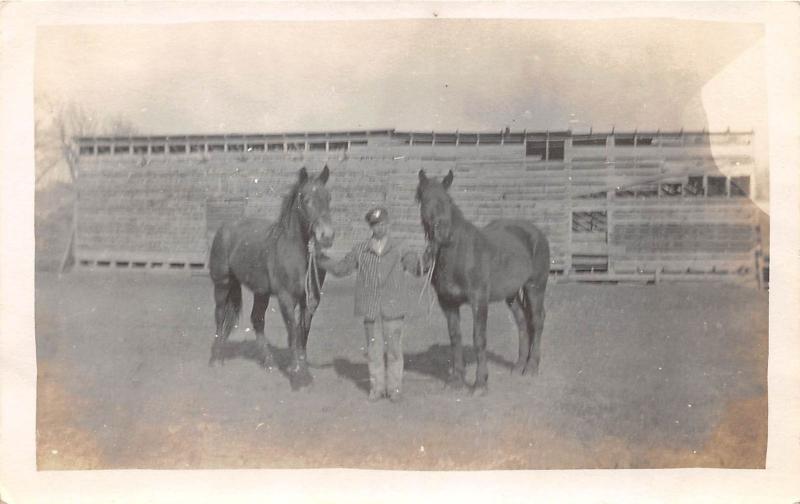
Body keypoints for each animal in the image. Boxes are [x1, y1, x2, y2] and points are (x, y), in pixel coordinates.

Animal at [208, 166, 332, 390]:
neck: (296, 253)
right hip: (222, 284)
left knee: (257, 320)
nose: (327, 235)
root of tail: (225, 227)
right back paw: (216, 359)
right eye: (306, 199)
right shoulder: (286, 298)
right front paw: (298, 375)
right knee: (220, 316)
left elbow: (303, 333)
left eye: (328, 197)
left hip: (261, 292)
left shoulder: (310, 301)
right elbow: (293, 333)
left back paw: (268, 362)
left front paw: (303, 372)